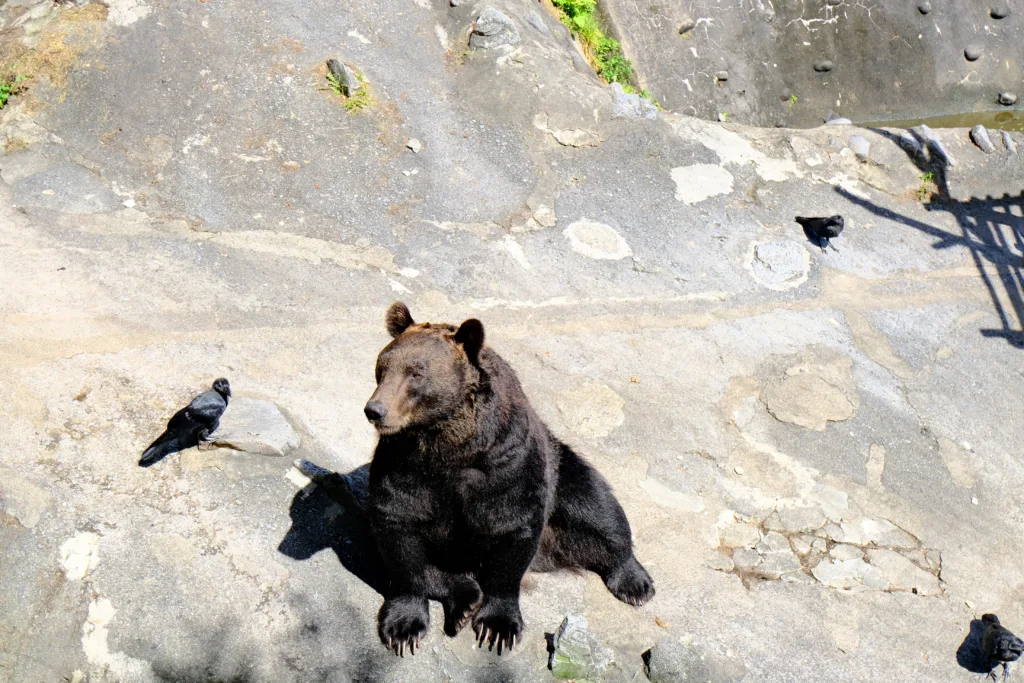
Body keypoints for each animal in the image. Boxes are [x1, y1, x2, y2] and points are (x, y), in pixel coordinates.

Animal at [366, 305, 655, 655]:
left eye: (416, 372)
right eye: (382, 367)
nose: (375, 410)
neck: (448, 443)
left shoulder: (505, 463)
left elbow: (512, 529)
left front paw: (497, 627)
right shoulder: (405, 464)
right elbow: (399, 530)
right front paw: (405, 627)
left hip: (564, 471)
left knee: (599, 512)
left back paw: (635, 582)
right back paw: (464, 597)